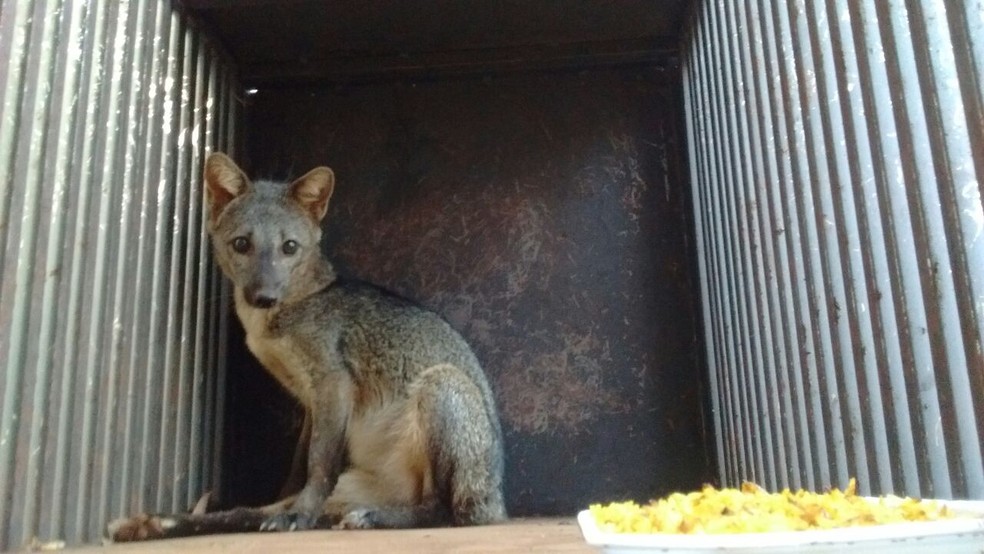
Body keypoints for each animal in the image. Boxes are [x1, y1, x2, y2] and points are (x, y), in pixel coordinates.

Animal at [107, 152, 508, 540]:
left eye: (289, 247)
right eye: (242, 244)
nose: (264, 297)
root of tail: (497, 505)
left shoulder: (333, 383)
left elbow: (318, 463)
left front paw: (300, 513)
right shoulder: (310, 401)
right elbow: (297, 471)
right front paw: (294, 510)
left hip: (440, 385)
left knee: (443, 510)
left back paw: (371, 517)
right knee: (246, 513)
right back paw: (153, 524)